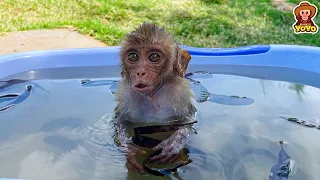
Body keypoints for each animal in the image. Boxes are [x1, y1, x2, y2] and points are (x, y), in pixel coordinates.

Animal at [114, 22, 196, 173]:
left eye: (154, 57)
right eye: (133, 56)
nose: (140, 72)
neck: (152, 97)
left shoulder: (181, 95)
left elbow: (189, 121)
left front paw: (174, 143)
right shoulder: (126, 96)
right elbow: (121, 121)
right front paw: (127, 147)